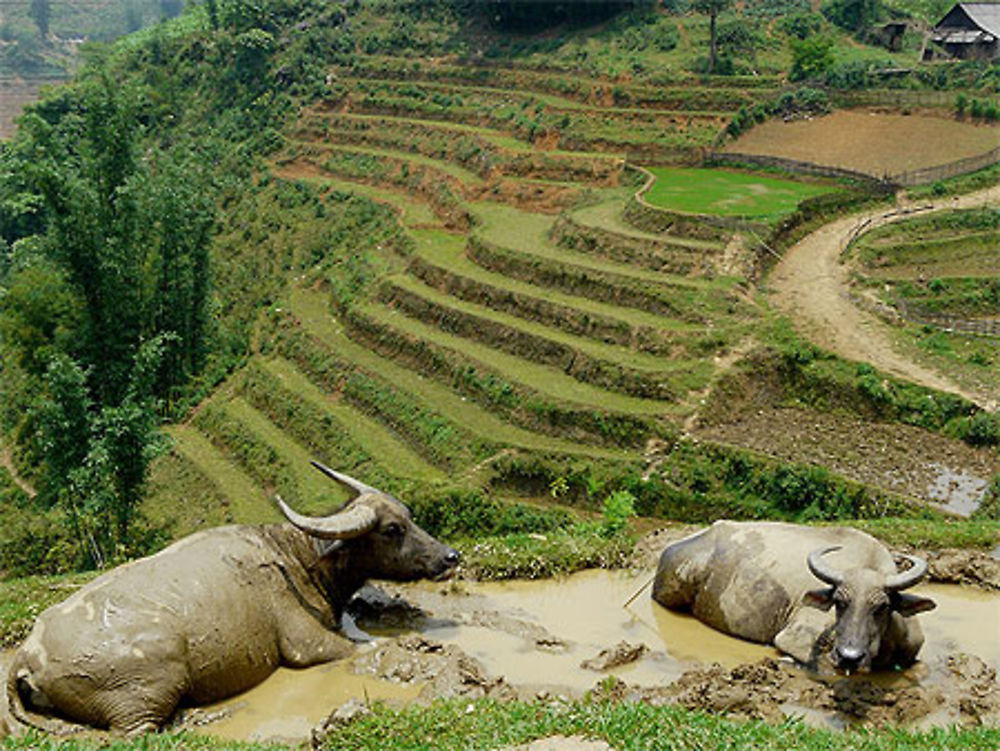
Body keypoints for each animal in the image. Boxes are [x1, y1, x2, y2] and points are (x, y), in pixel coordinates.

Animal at [5, 462, 458, 736]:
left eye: (410, 516)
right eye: (393, 529)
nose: (450, 557)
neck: (298, 557)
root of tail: (26, 656)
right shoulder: (305, 645)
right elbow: (358, 648)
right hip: (150, 690)